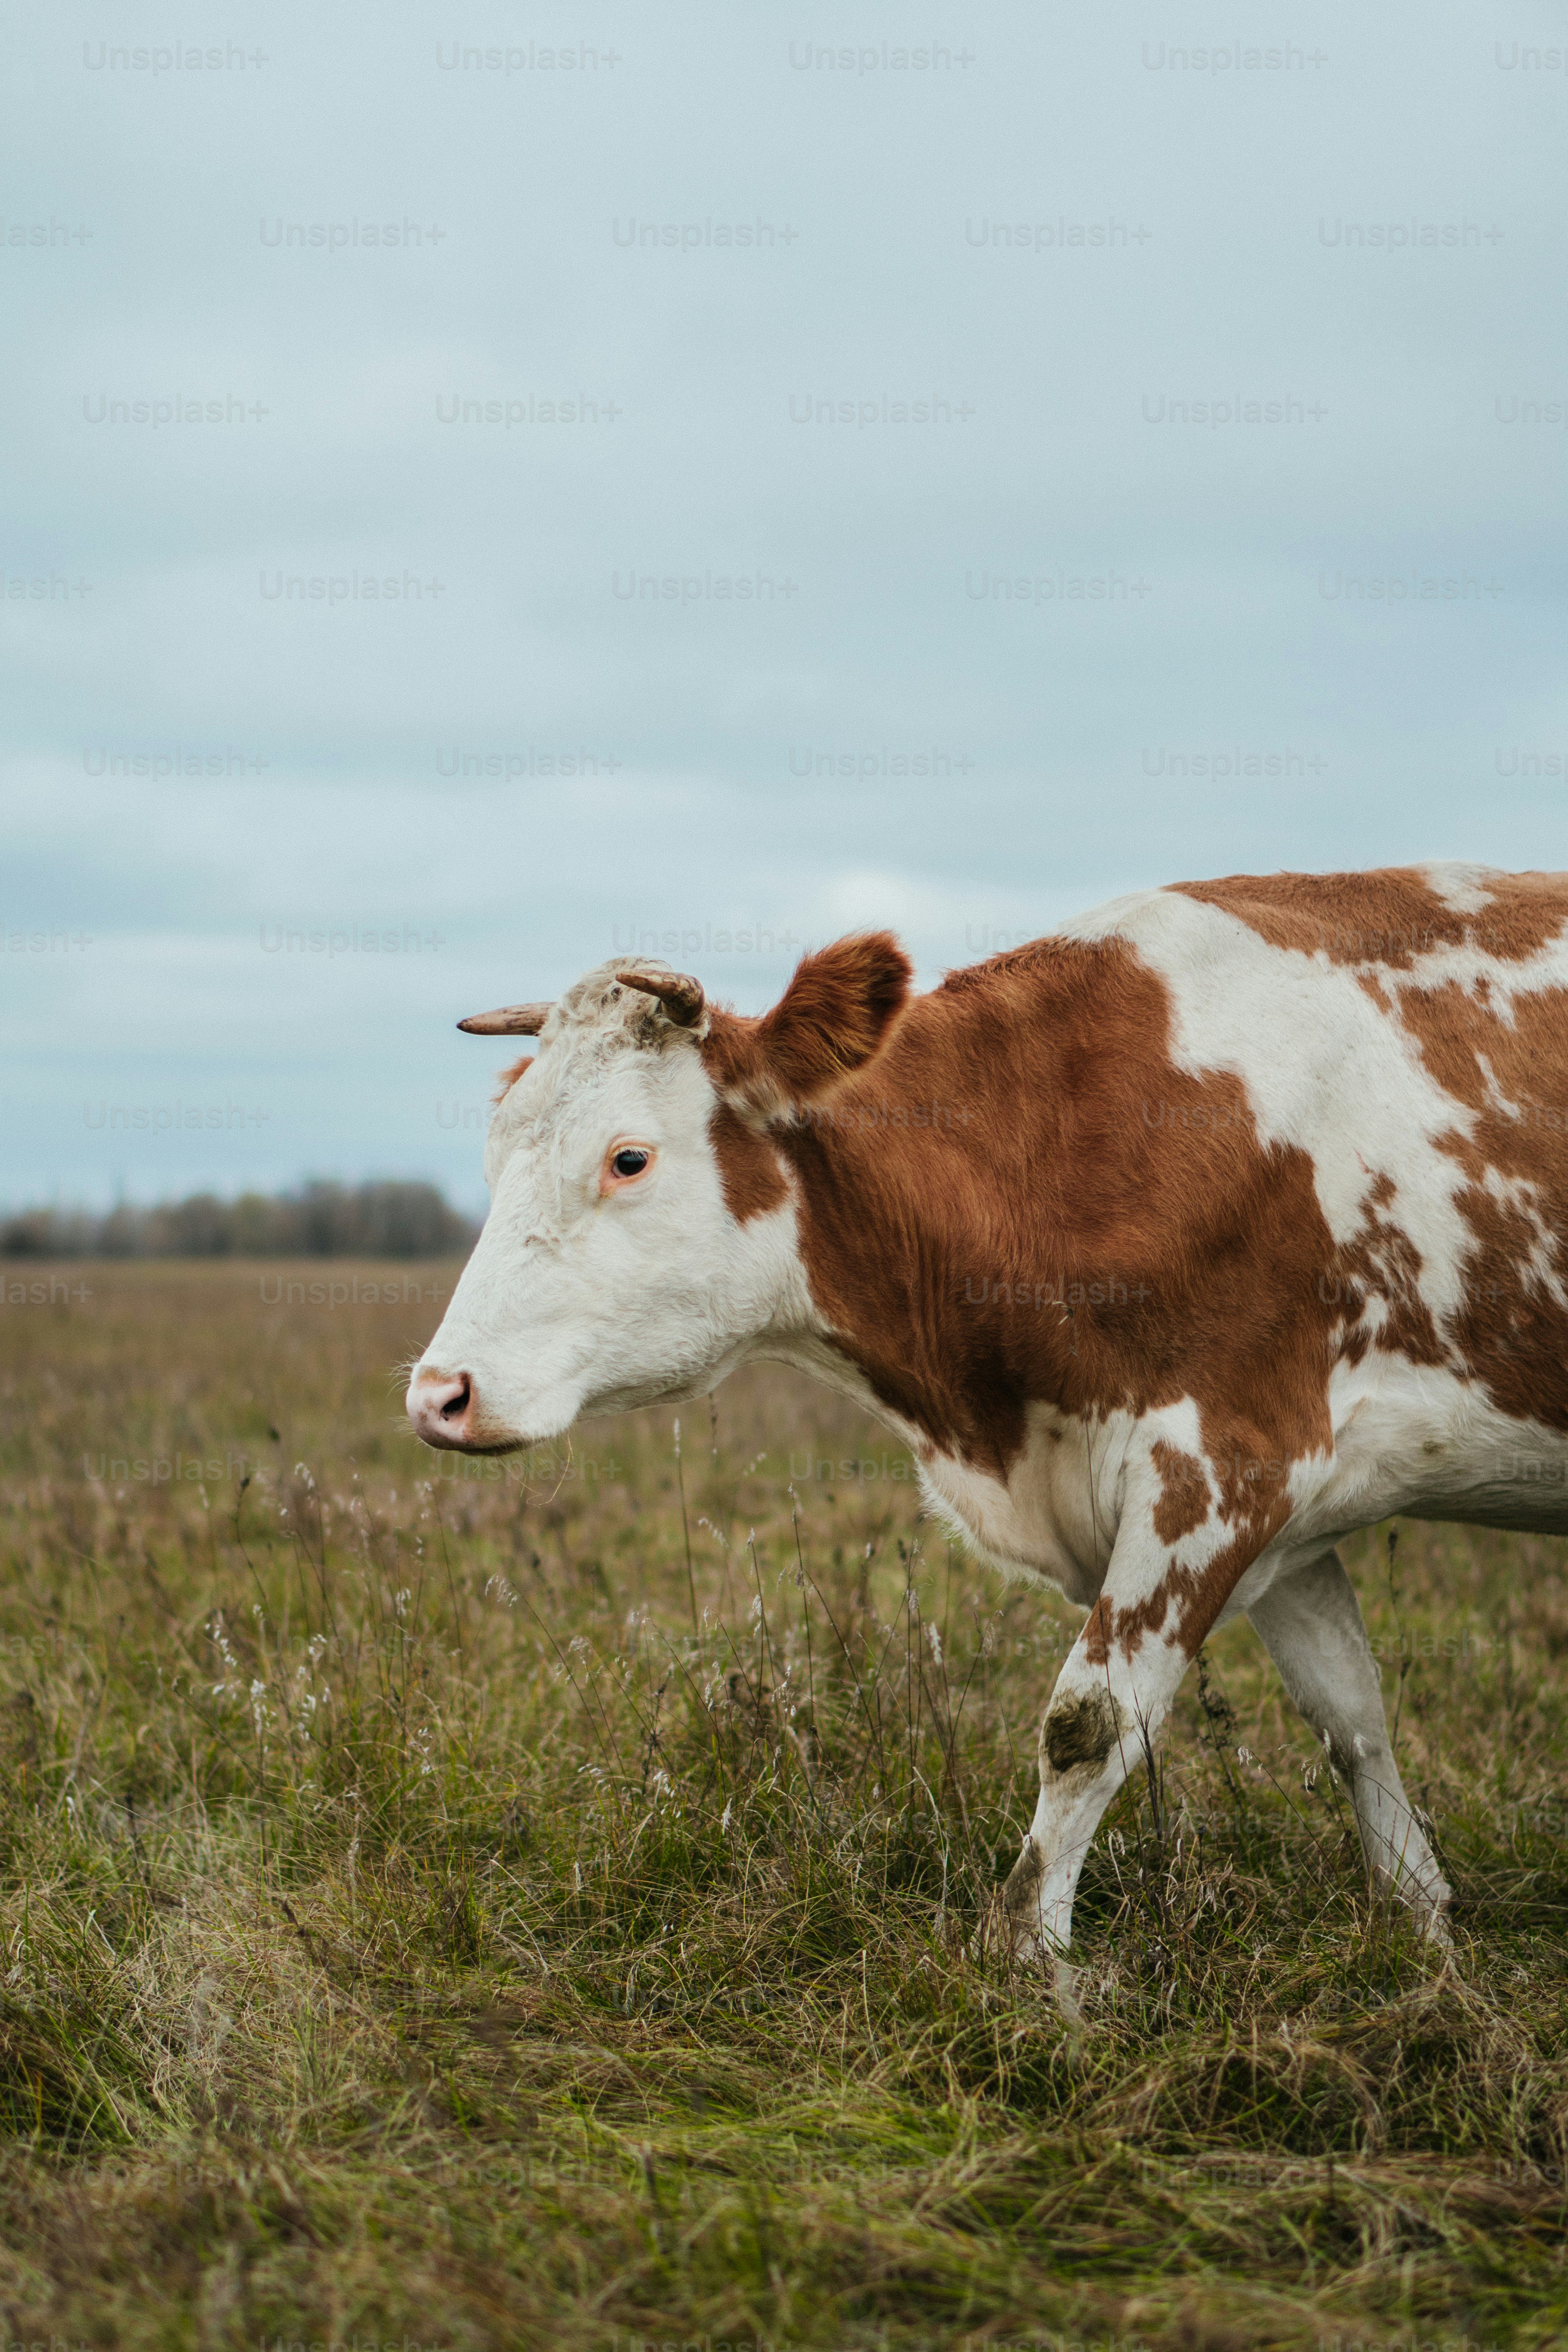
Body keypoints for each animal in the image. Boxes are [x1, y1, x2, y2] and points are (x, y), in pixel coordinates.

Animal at [407, 863, 1568, 1972]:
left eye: (628, 1158)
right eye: (493, 1156)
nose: (437, 1393)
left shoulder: (1220, 1466)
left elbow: (1088, 1723)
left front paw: (1029, 1964)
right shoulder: (1292, 1499)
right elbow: (1352, 1722)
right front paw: (1421, 1929)